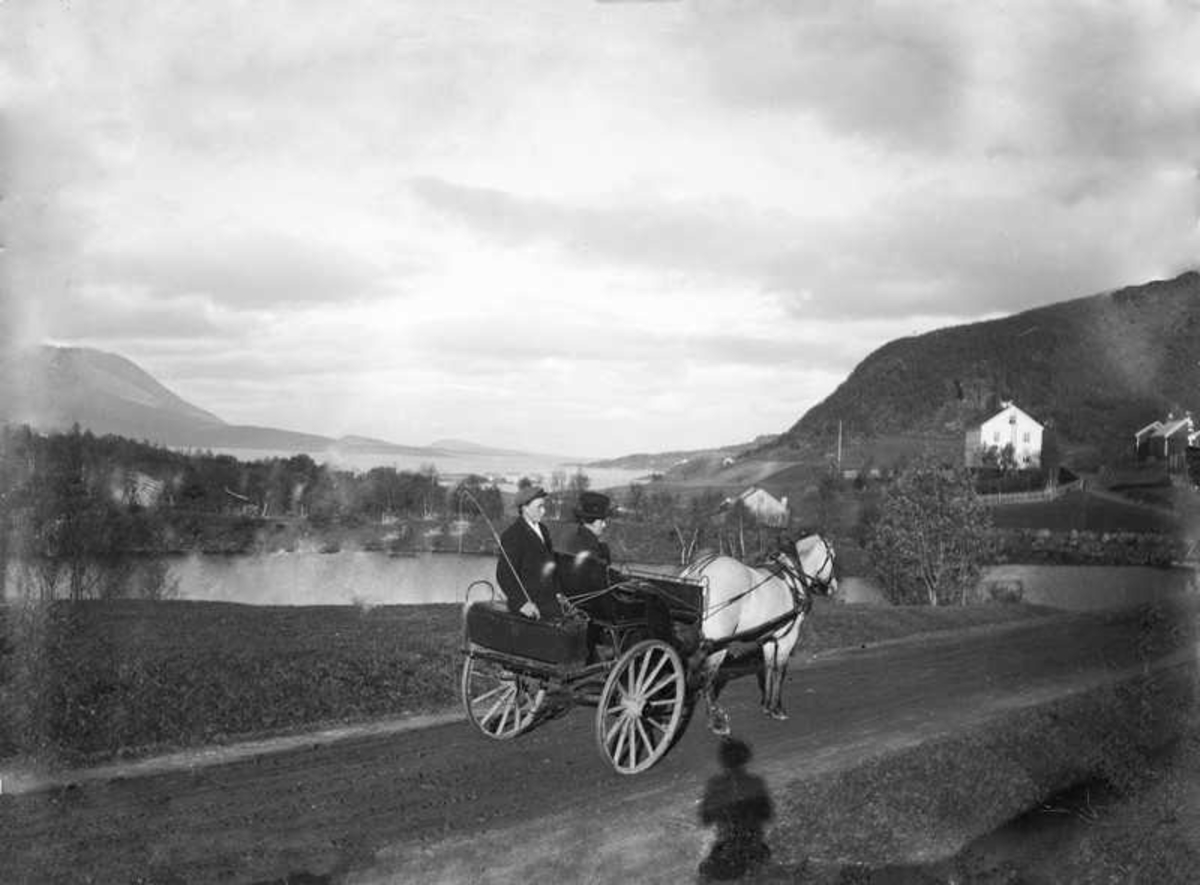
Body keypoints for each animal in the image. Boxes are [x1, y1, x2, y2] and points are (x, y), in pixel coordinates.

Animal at [681, 534, 840, 733]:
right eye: (832, 556)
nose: (833, 586)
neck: (793, 579)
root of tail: (699, 570)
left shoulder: (769, 639)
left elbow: (769, 668)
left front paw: (767, 706)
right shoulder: (788, 638)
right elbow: (780, 670)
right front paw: (777, 708)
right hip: (717, 643)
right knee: (706, 676)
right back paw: (716, 721)